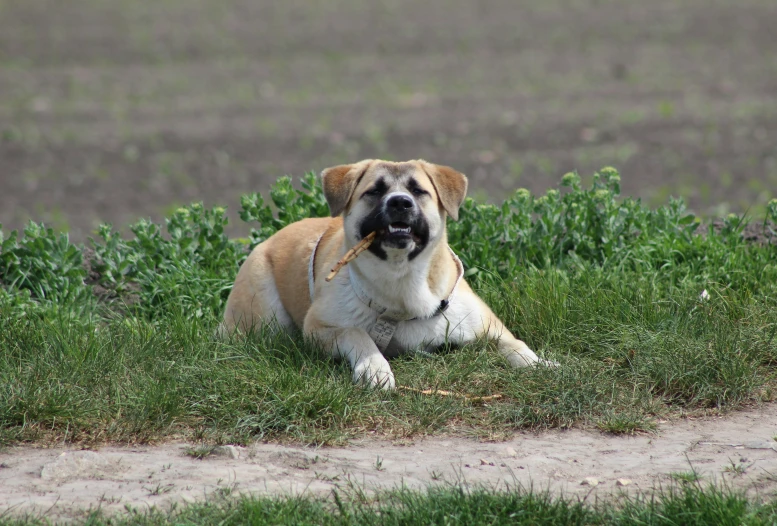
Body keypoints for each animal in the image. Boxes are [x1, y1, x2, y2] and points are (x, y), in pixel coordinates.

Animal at [221, 159, 556, 390]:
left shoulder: (486, 325)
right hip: (263, 317)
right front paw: (374, 369)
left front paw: (541, 364)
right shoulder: (318, 328)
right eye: (375, 191)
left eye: (418, 191)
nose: (400, 202)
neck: (403, 283)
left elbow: (514, 344)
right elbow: (356, 333)